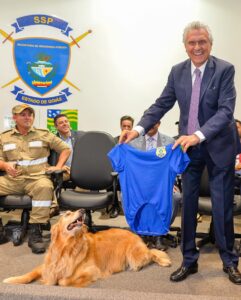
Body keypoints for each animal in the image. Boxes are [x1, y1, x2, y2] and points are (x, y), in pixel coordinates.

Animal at [2, 210, 170, 288]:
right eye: (67, 213)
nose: (82, 210)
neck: (67, 248)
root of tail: (134, 233)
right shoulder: (47, 265)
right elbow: (29, 274)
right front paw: (12, 279)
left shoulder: (91, 271)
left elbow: (63, 281)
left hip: (135, 255)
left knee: (152, 254)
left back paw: (160, 262)